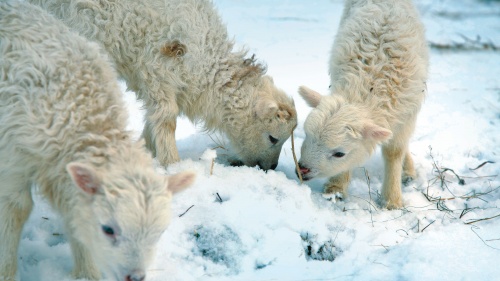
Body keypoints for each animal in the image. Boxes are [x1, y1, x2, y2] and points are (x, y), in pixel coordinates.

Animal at [0, 1, 195, 278]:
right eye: (108, 229)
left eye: (159, 233)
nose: (135, 277)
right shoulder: (12, 160)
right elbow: (16, 209)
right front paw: (6, 272)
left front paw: (86, 273)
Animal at [27, 0, 296, 170]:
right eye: (273, 138)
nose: (270, 168)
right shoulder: (157, 68)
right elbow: (166, 118)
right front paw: (172, 164)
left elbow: (152, 117)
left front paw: (148, 151)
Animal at [296, 0, 430, 208]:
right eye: (306, 135)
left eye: (339, 154)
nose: (302, 169)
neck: (370, 83)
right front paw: (336, 188)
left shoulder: (407, 113)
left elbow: (394, 152)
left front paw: (392, 200)